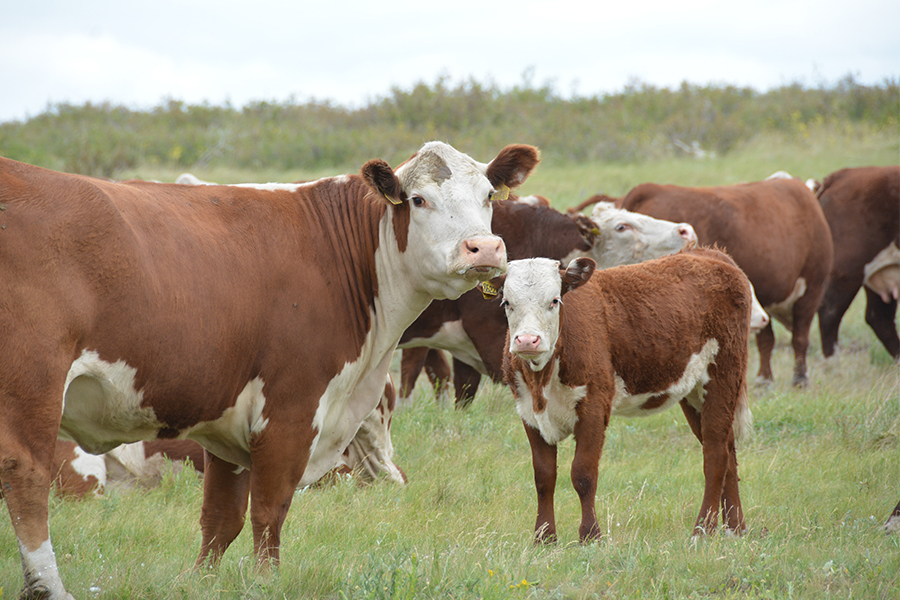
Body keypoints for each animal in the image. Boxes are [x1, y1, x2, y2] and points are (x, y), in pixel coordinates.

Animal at [0, 142, 540, 600]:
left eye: (488, 196)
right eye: (419, 199)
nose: (485, 249)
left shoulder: (227, 422)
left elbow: (220, 518)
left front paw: (201, 582)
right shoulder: (290, 410)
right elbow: (268, 510)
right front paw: (265, 582)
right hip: (35, 382)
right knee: (26, 477)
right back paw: (48, 586)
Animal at [496, 250, 756, 544]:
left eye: (554, 300)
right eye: (507, 302)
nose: (527, 340)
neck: (542, 380)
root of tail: (708, 253)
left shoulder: (594, 406)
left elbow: (583, 474)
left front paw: (590, 535)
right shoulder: (529, 412)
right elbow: (544, 476)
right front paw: (544, 537)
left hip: (724, 373)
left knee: (715, 454)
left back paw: (703, 530)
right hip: (696, 391)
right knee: (728, 449)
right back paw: (735, 528)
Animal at [816, 164, 900, 360]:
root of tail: (843, 174)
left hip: (880, 269)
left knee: (879, 317)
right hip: (848, 269)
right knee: (829, 311)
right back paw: (833, 362)